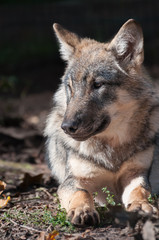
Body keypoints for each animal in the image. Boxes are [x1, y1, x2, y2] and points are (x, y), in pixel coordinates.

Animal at [44, 19, 159, 226]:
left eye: (97, 85)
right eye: (70, 87)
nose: (67, 127)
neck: (112, 150)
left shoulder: (137, 174)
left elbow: (140, 190)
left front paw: (141, 205)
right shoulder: (73, 180)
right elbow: (81, 193)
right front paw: (82, 209)